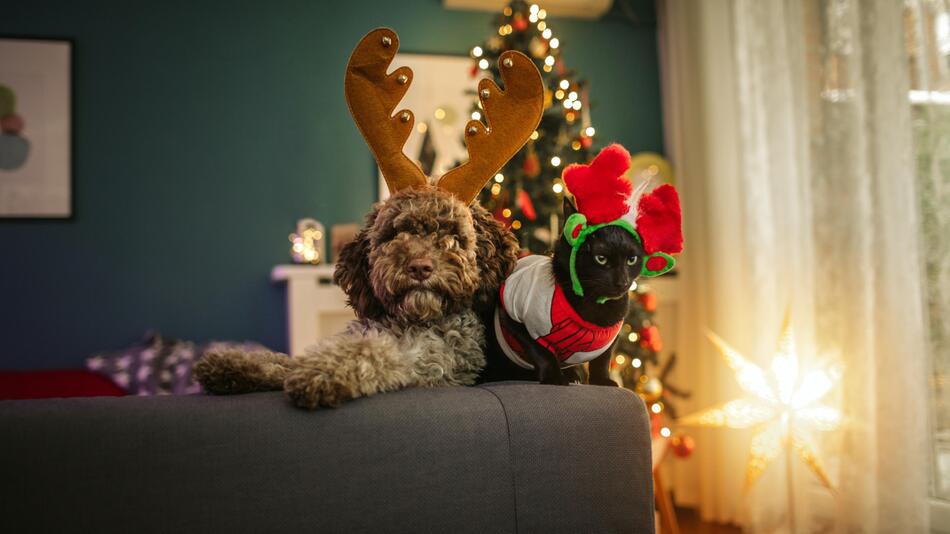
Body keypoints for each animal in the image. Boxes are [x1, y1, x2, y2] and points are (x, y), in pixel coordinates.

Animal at [196, 188, 516, 410]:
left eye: (451, 234)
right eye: (395, 233)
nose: (419, 267)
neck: (408, 321)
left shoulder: (428, 365)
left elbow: (370, 353)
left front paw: (321, 374)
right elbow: (288, 361)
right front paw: (232, 364)